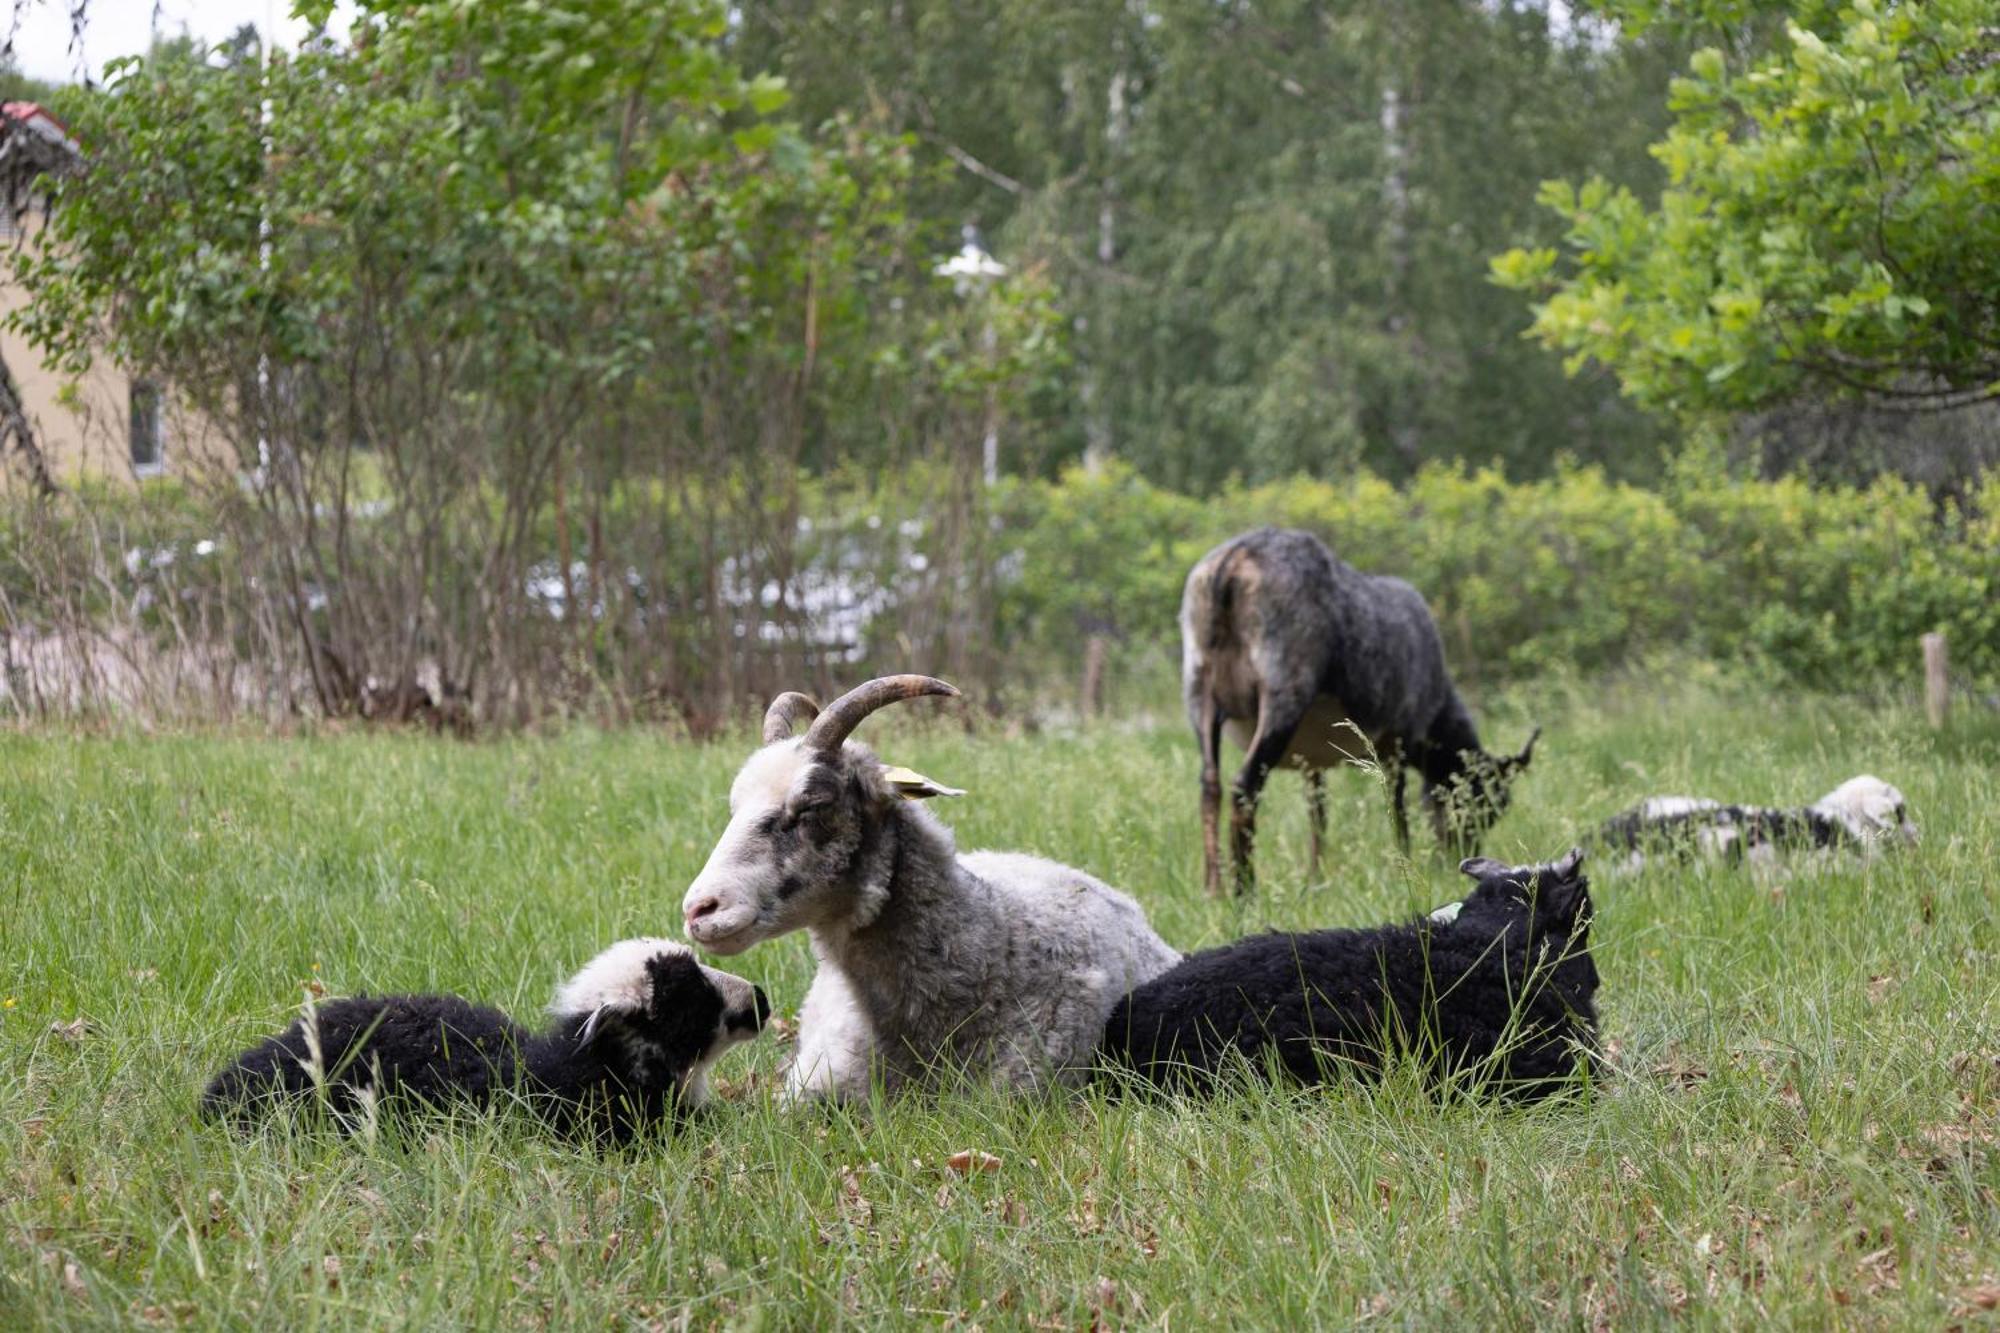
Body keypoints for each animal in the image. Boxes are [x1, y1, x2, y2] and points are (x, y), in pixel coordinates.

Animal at [1176, 524, 1536, 888]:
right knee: (1244, 786)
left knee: (1210, 786)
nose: (1460, 857)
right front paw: (1405, 862)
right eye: (1486, 805)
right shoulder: (1398, 738)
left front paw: (1316, 876)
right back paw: (1243, 888)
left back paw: (1213, 888)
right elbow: (1397, 803)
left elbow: (1318, 813)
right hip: (1283, 687)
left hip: (1198, 688)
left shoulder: (1311, 761)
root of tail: (1233, 561)